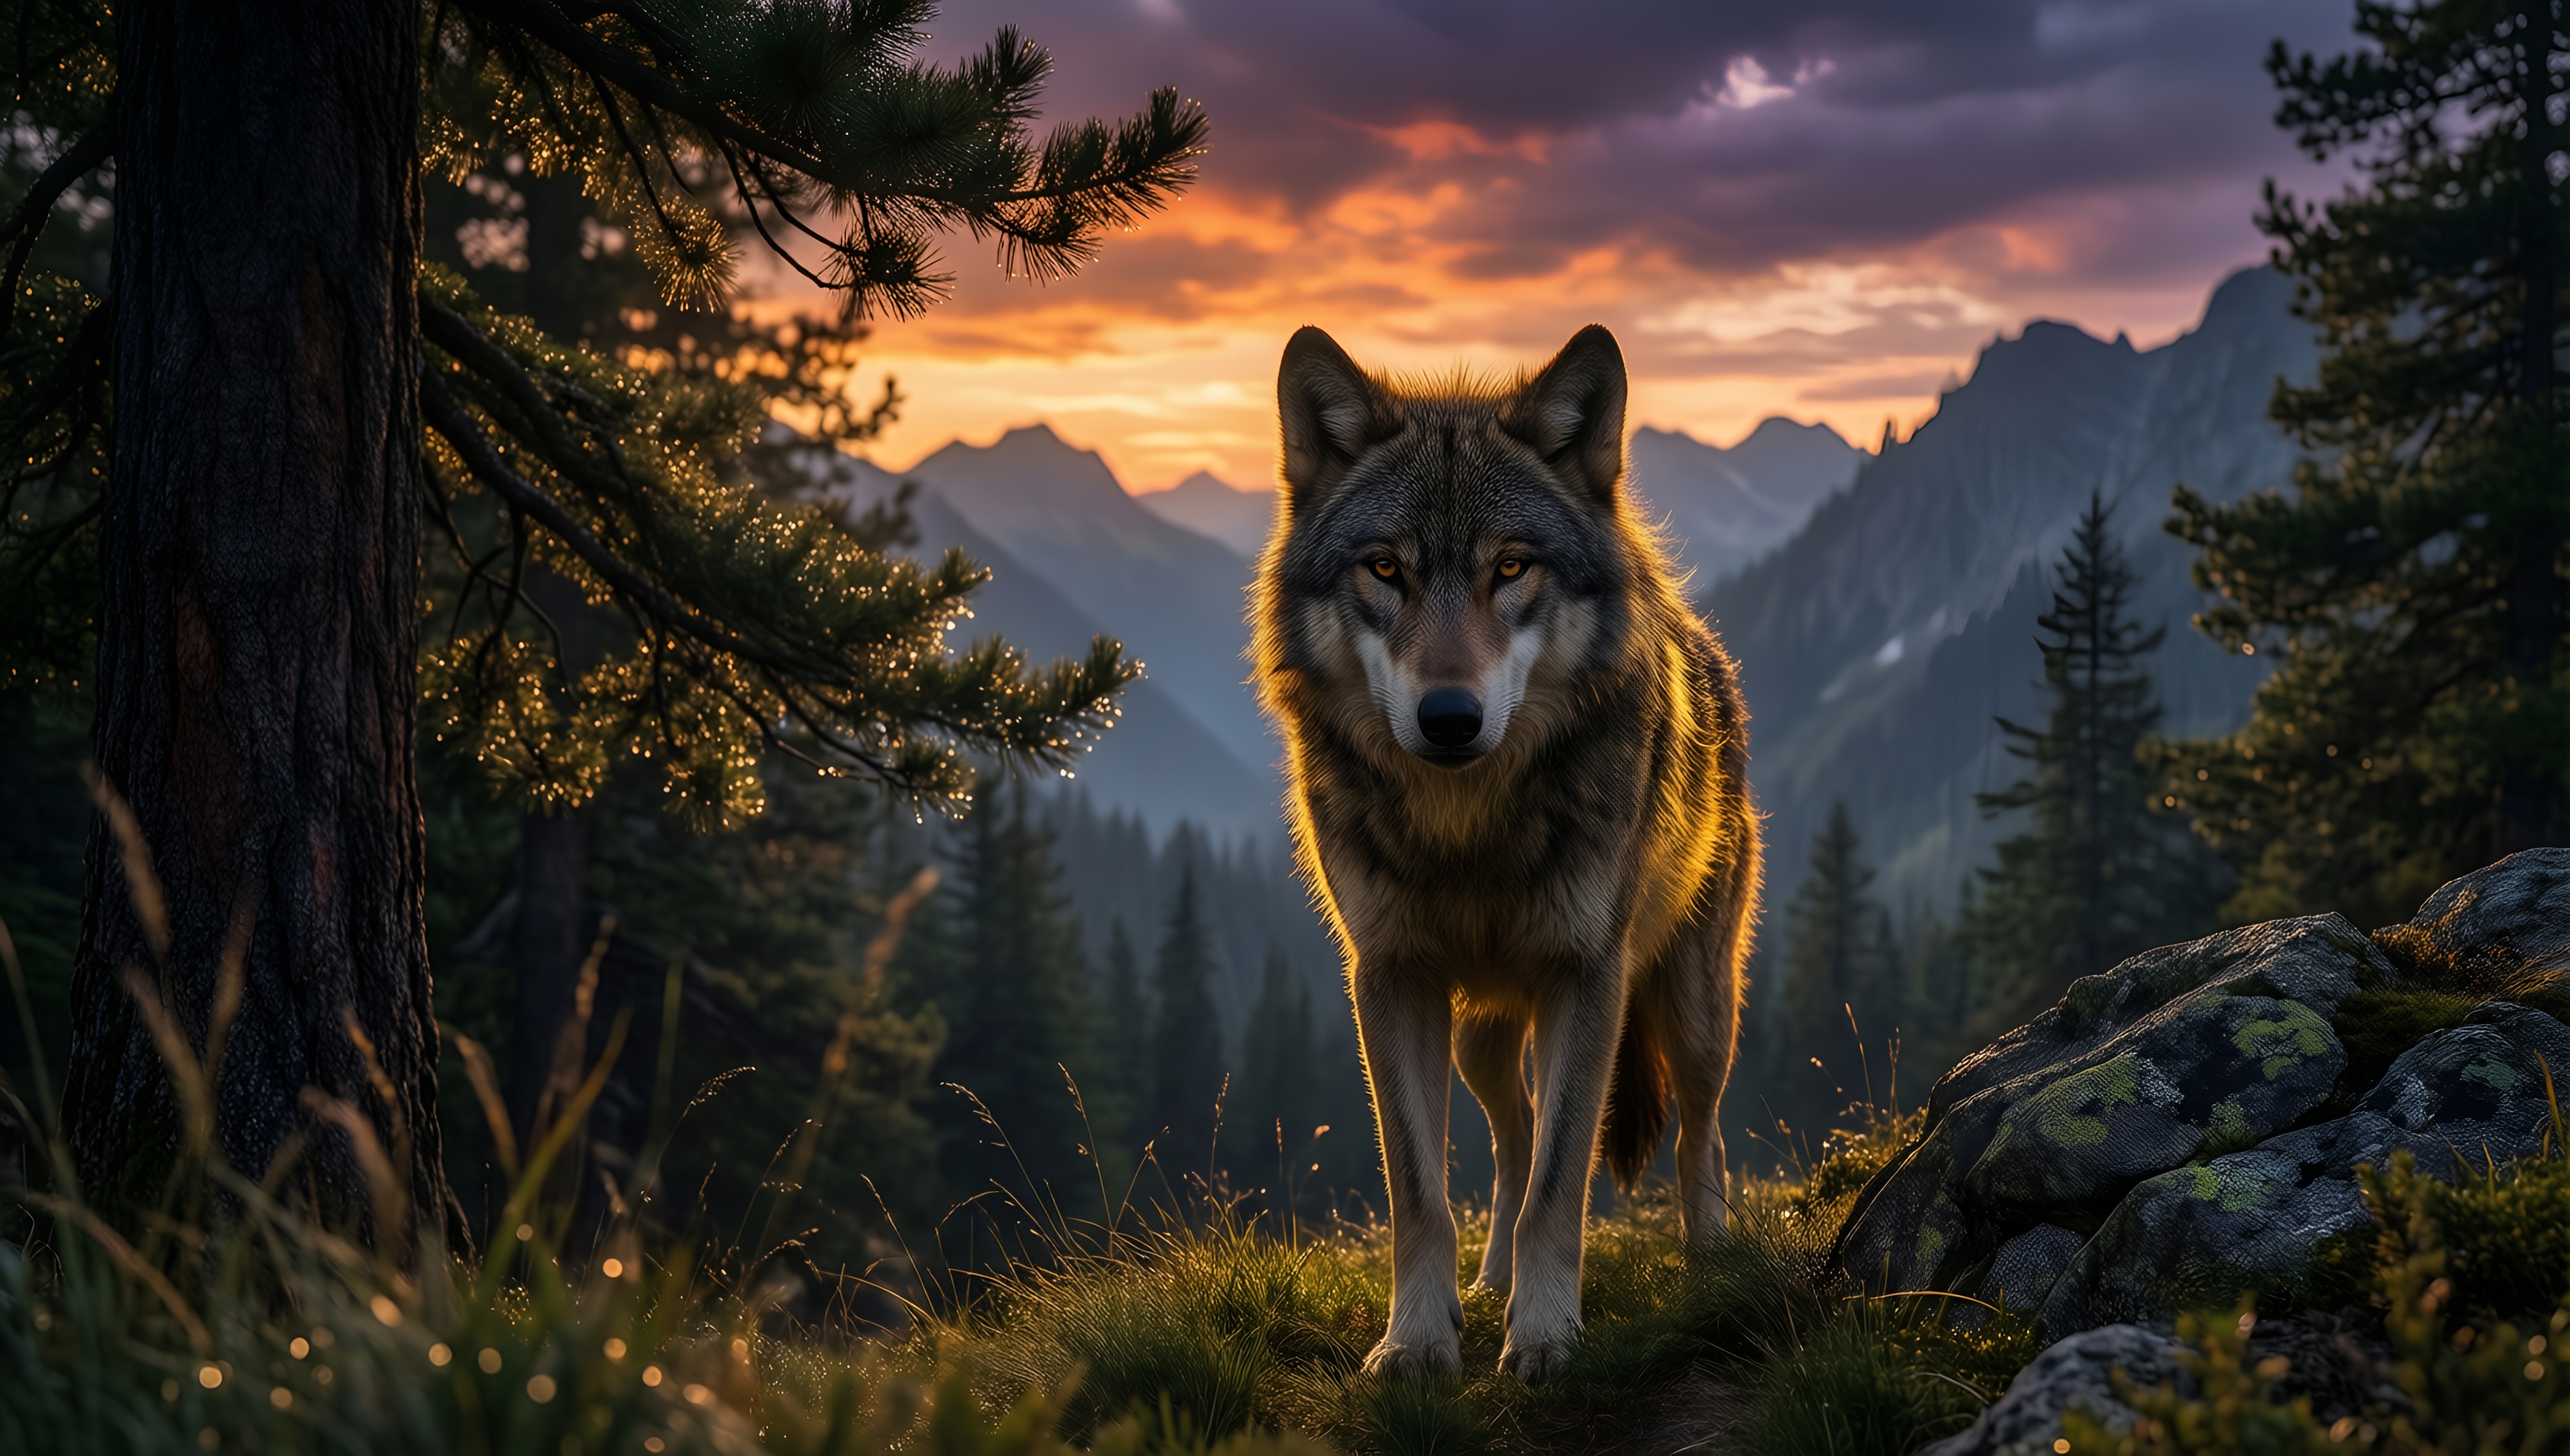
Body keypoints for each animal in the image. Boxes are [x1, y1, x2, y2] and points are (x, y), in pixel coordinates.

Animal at [1252, 325, 1761, 1381]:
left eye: (1513, 568)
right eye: (1387, 570)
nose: (1449, 717)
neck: (1467, 826)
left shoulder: (1587, 976)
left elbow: (1562, 1186)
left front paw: (1546, 1335)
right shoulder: (1391, 978)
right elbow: (1423, 1193)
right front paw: (1417, 1338)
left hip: (1693, 1006)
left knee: (1699, 1133)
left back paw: (1711, 1263)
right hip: (1482, 1035)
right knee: (1513, 1136)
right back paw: (1486, 1286)